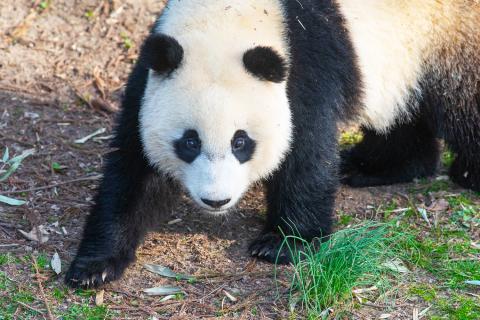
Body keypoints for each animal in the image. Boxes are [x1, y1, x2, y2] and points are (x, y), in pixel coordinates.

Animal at [64, 0, 480, 288]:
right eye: (189, 142)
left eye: (241, 142)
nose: (216, 200)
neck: (224, 21)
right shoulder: (149, 80)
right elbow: (135, 171)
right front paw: (94, 266)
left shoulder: (306, 70)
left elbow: (306, 157)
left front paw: (282, 244)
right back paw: (378, 165)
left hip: (451, 33)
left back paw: (466, 173)